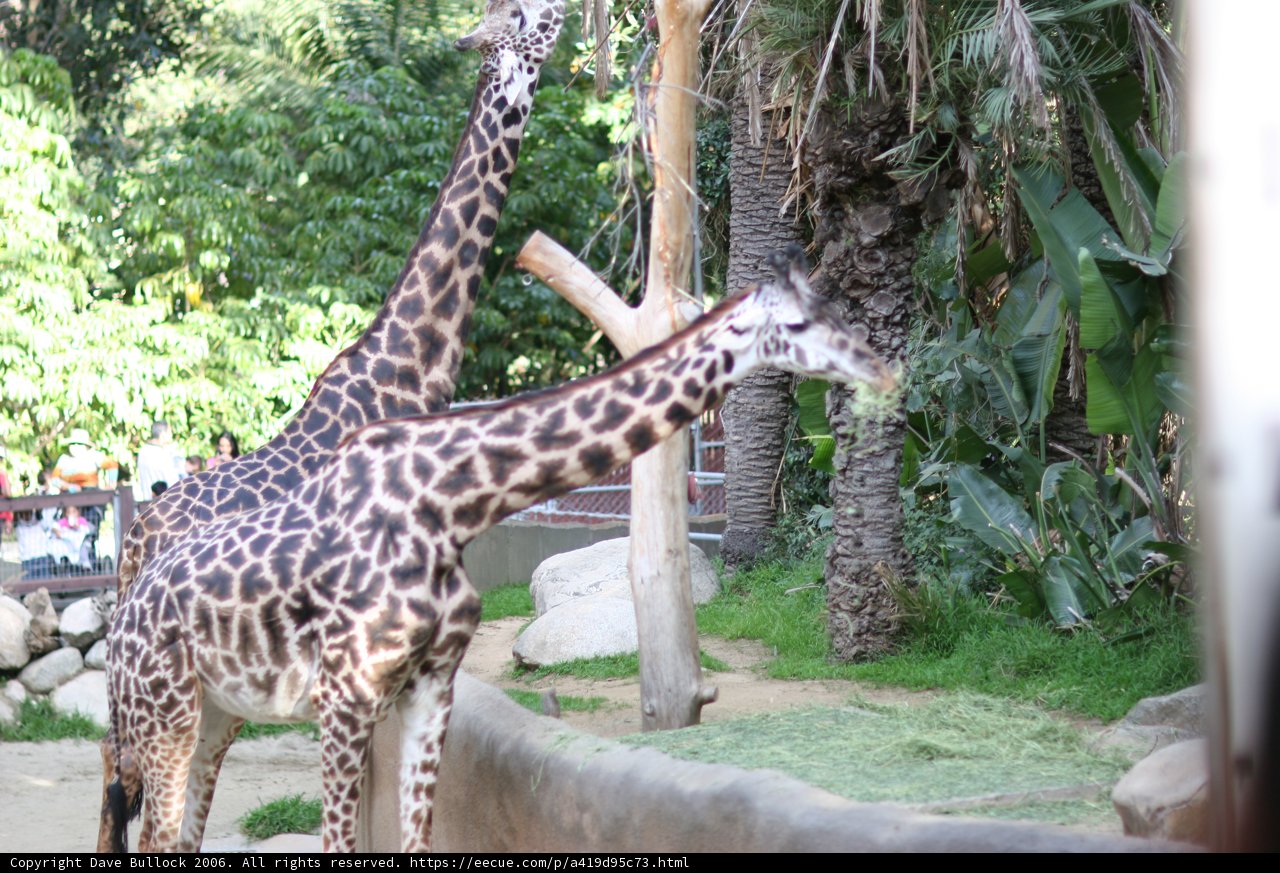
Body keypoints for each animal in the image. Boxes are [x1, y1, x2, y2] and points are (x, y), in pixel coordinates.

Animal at [100, 247, 897, 853]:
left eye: (838, 310)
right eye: (796, 323)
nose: (884, 368)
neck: (452, 505)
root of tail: (126, 601)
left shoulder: (430, 685)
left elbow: (415, 838)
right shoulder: (344, 693)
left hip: (211, 714)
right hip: (163, 712)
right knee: (152, 827)